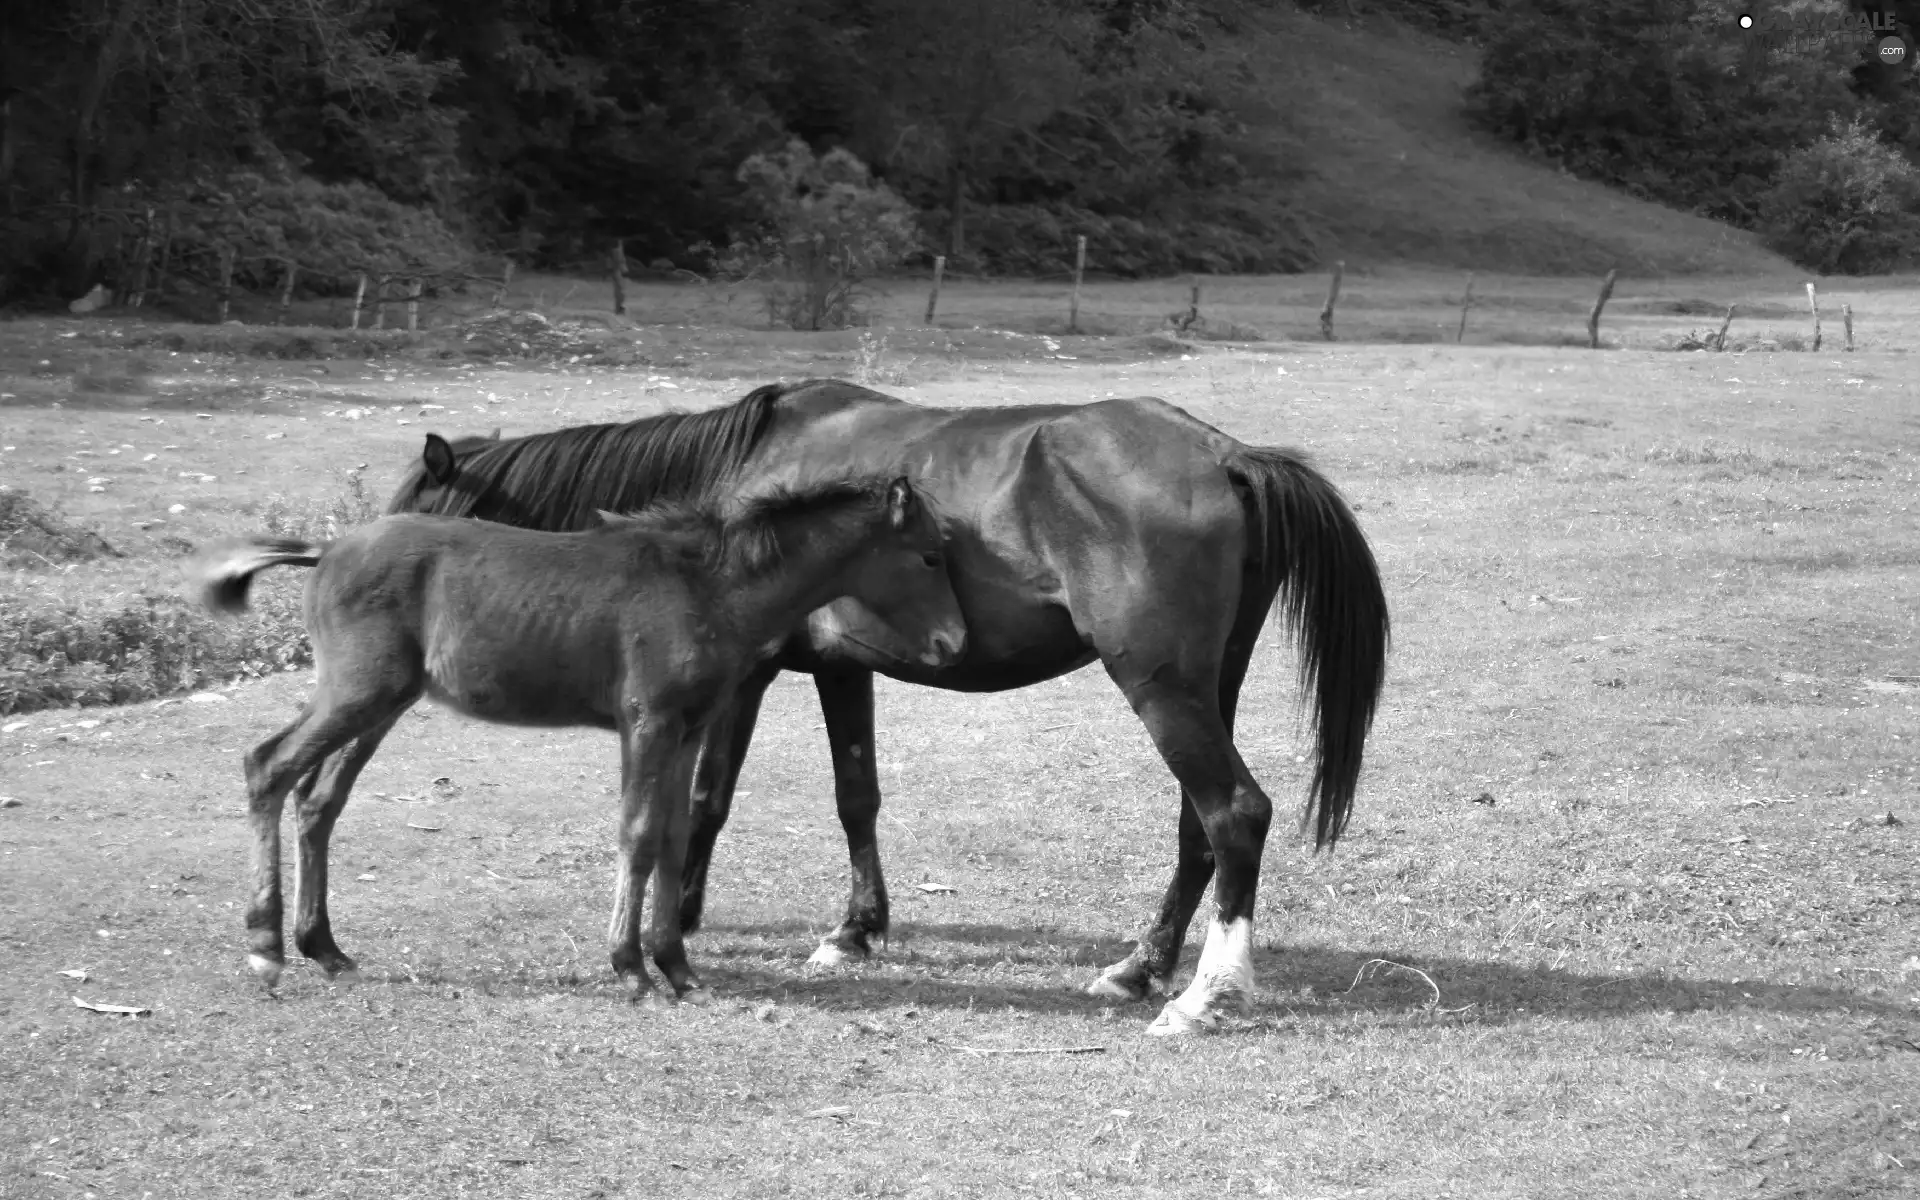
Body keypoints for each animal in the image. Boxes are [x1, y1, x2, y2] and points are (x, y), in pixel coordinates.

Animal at [189, 472, 967, 998]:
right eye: (930, 555)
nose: (952, 642)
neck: (709, 585)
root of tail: (326, 550)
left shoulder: (686, 730)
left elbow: (674, 835)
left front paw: (676, 965)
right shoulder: (646, 722)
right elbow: (639, 833)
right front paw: (631, 966)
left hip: (383, 702)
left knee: (318, 801)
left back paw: (323, 948)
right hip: (358, 693)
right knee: (267, 767)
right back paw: (266, 946)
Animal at [389, 378, 1390, 1036]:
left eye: (419, 509)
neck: (745, 476)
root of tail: (1225, 458)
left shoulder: (747, 676)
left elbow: (705, 801)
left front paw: (686, 922)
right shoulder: (842, 671)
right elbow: (855, 795)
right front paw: (855, 930)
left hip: (1162, 690)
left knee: (1235, 813)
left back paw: (1204, 994)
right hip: (1206, 687)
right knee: (1199, 828)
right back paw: (1138, 968)